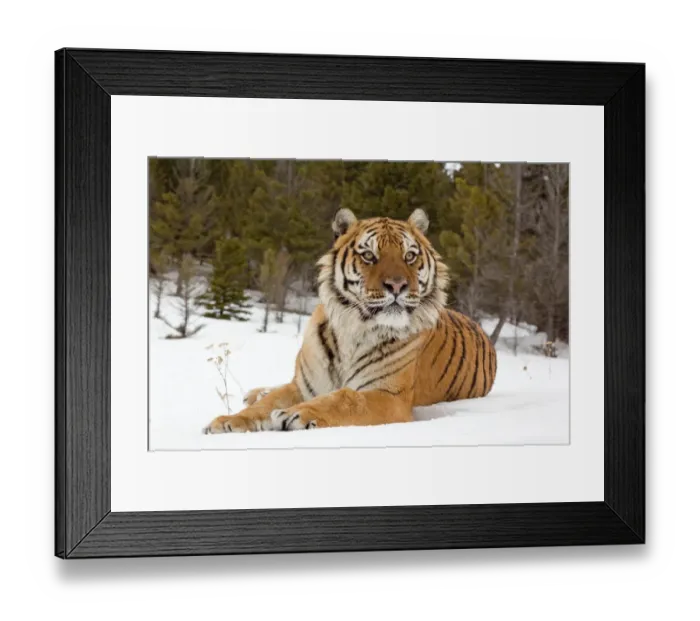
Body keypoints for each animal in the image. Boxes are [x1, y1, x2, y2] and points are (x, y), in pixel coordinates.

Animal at [204, 207, 497, 434]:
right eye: (369, 256)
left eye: (409, 256)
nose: (397, 285)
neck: (353, 330)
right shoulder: (304, 385)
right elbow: (267, 404)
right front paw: (227, 422)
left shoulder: (390, 396)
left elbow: (346, 398)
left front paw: (295, 414)